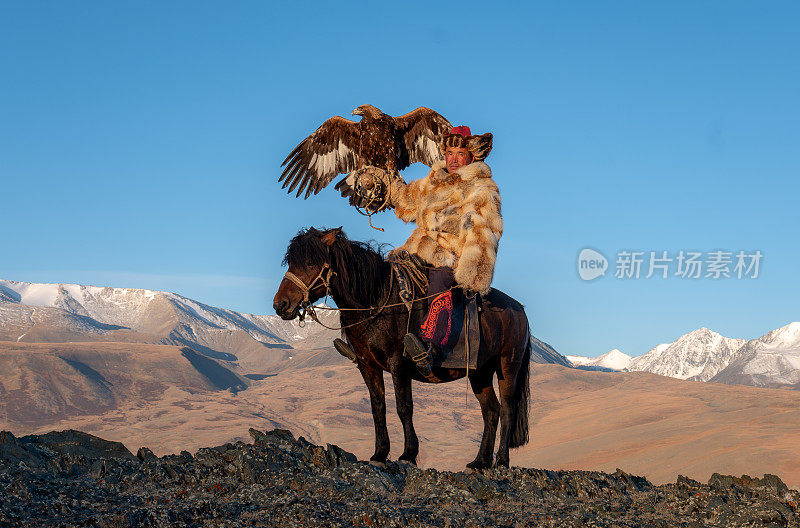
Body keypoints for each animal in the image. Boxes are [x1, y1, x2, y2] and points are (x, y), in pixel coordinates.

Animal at [274, 225, 532, 468]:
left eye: (310, 262)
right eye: (292, 262)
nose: (281, 305)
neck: (375, 300)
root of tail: (518, 309)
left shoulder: (398, 362)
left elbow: (403, 407)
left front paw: (408, 454)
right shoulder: (368, 366)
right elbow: (378, 408)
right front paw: (379, 454)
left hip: (507, 366)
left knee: (507, 410)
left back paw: (501, 461)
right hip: (480, 372)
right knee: (491, 411)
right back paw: (480, 462)